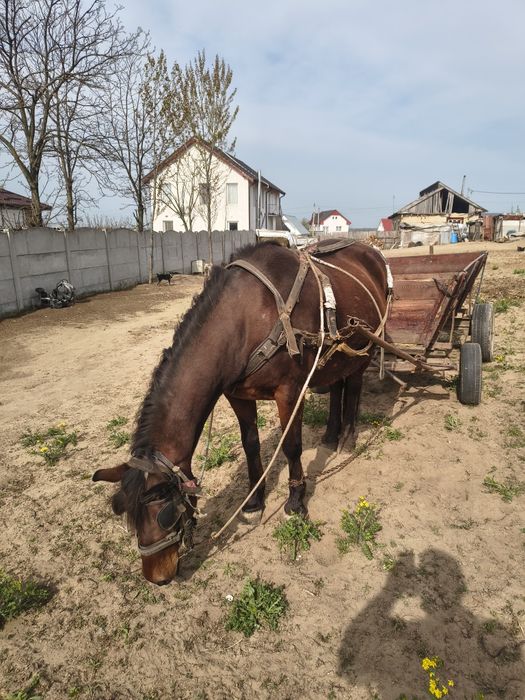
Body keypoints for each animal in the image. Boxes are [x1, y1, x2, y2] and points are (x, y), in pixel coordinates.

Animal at [93, 240, 389, 584]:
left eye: (163, 515)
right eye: (124, 513)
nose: (157, 577)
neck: (247, 314)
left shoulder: (290, 392)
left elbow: (292, 446)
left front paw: (296, 501)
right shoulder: (237, 395)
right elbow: (251, 445)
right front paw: (254, 500)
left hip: (364, 347)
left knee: (353, 385)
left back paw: (348, 438)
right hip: (335, 355)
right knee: (337, 384)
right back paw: (330, 434)